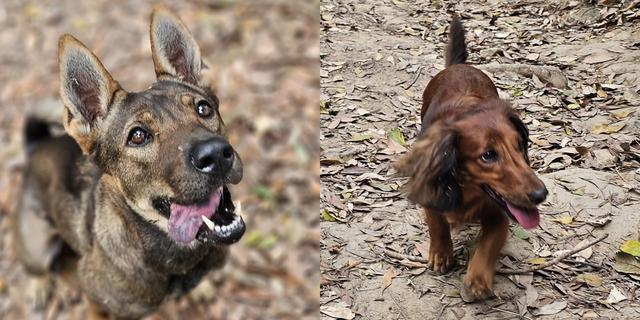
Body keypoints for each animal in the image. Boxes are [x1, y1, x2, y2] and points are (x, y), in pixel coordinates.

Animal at [13, 6, 248, 318]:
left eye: (203, 108)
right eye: (137, 136)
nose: (217, 154)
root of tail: (38, 145)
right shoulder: (96, 302)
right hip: (38, 246)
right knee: (37, 267)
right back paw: (38, 286)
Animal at [396, 17, 552, 302]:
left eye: (519, 145)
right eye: (488, 155)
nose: (540, 195)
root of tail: (458, 66)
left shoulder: (500, 213)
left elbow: (488, 245)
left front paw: (478, 279)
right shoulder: (431, 189)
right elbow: (437, 224)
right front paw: (441, 253)